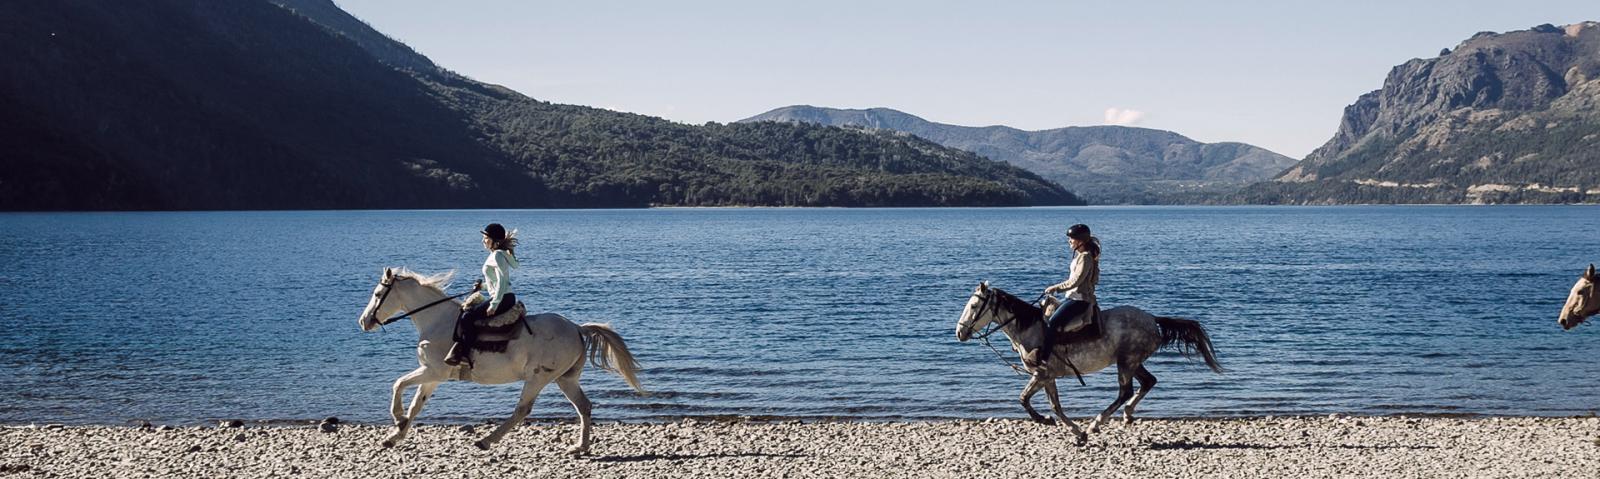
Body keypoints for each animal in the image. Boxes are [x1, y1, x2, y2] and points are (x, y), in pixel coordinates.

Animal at [356, 269, 643, 454]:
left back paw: (486, 441)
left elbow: (398, 384)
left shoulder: (432, 371)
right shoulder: (433, 377)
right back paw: (580, 447)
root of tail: (576, 328)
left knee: (522, 410)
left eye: (378, 293)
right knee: (583, 406)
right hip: (565, 378)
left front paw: (397, 418)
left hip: (539, 377)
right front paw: (395, 435)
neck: (437, 321)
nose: (364, 321)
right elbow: (416, 405)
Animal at [947, 283, 1222, 445]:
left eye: (974, 305)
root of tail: (1152, 319)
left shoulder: (1042, 374)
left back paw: (1097, 422)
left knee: (1126, 391)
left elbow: (1026, 400)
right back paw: (1127, 415)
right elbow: (1051, 405)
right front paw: (1071, 430)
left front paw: (1059, 425)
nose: (959, 332)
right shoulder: (1047, 378)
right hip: (1133, 362)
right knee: (1148, 382)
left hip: (1126, 362)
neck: (1030, 330)